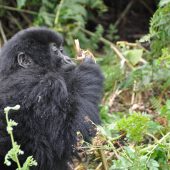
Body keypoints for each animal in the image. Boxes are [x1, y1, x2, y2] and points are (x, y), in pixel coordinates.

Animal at [0, 27, 103, 169]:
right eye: (55, 51)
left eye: (61, 50)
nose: (68, 59)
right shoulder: (47, 87)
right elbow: (64, 140)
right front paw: (88, 69)